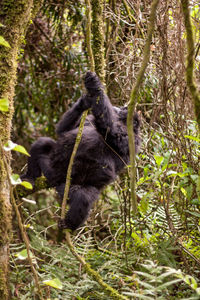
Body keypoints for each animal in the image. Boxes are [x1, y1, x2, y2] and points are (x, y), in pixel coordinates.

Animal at [21, 71, 141, 231]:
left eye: (123, 109)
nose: (119, 107)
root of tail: (58, 182)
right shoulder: (89, 119)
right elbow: (64, 130)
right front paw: (84, 101)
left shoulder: (132, 139)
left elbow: (110, 129)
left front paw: (95, 86)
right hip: (52, 169)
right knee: (42, 144)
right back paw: (30, 177)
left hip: (82, 185)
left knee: (84, 197)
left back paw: (69, 224)